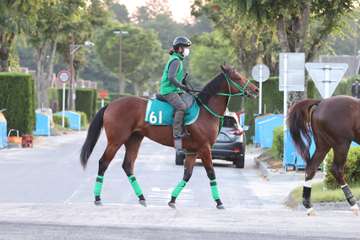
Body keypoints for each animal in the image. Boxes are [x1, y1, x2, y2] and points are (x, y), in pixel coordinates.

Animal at [80, 64, 258, 209]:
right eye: (237, 77)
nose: (256, 90)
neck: (205, 111)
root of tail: (111, 104)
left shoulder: (192, 151)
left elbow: (187, 175)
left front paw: (172, 199)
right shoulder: (204, 148)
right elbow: (211, 173)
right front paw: (219, 202)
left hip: (134, 139)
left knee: (128, 165)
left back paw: (142, 197)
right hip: (116, 141)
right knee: (103, 162)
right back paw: (97, 198)